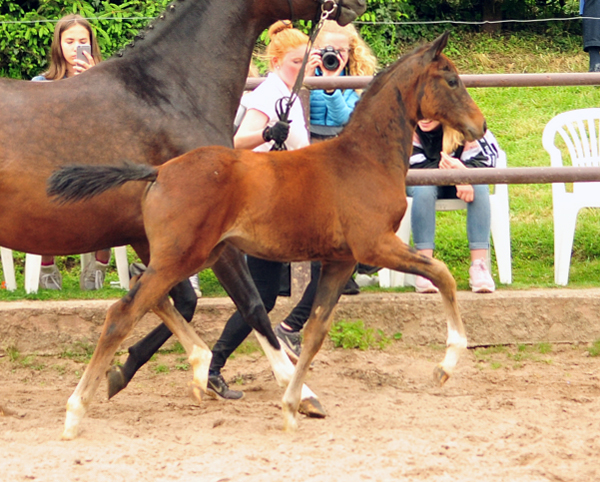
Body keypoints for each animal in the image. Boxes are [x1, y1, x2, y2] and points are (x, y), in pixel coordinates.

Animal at [49, 33, 486, 436]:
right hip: (182, 257)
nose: (479, 126)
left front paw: (294, 405)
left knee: (150, 292)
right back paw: (75, 411)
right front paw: (446, 365)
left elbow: (314, 332)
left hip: (198, 256)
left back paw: (192, 371)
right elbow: (442, 274)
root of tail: (159, 172)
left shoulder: (340, 259)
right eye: (451, 80)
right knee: (121, 314)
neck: (364, 160)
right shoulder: (375, 245)